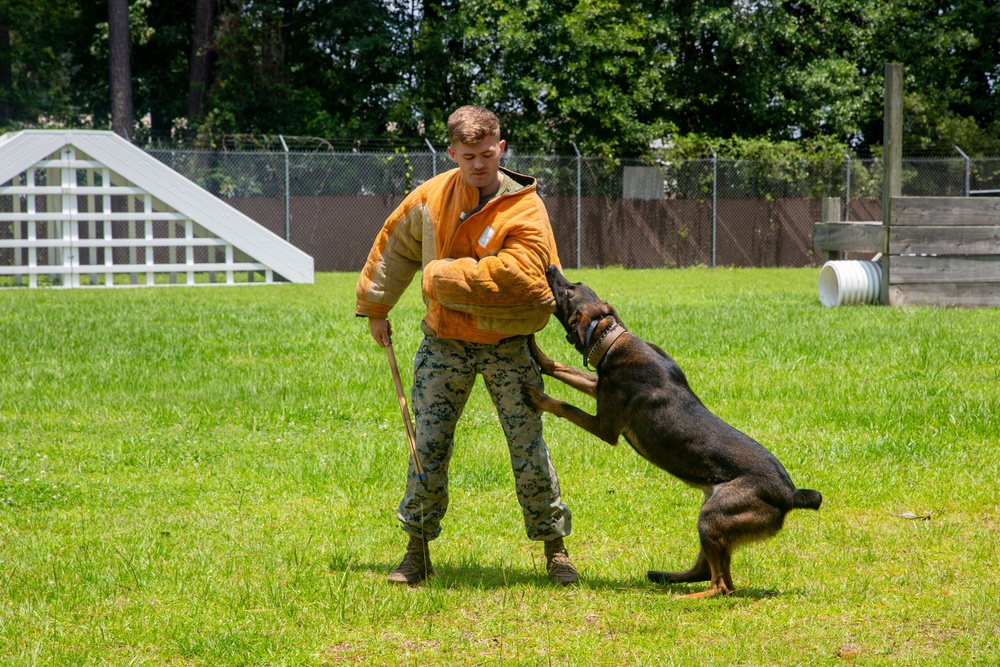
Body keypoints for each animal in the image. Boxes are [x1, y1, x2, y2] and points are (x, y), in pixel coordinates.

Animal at [524, 266, 820, 600]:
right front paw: (537, 352)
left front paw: (538, 396)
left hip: (714, 516)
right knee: (708, 572)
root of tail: (791, 493)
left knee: (722, 586)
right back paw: (665, 577)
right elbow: (561, 368)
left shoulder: (606, 426)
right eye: (575, 283)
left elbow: (564, 405)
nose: (551, 269)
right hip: (711, 515)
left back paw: (684, 597)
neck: (612, 340)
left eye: (568, 291)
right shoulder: (598, 387)